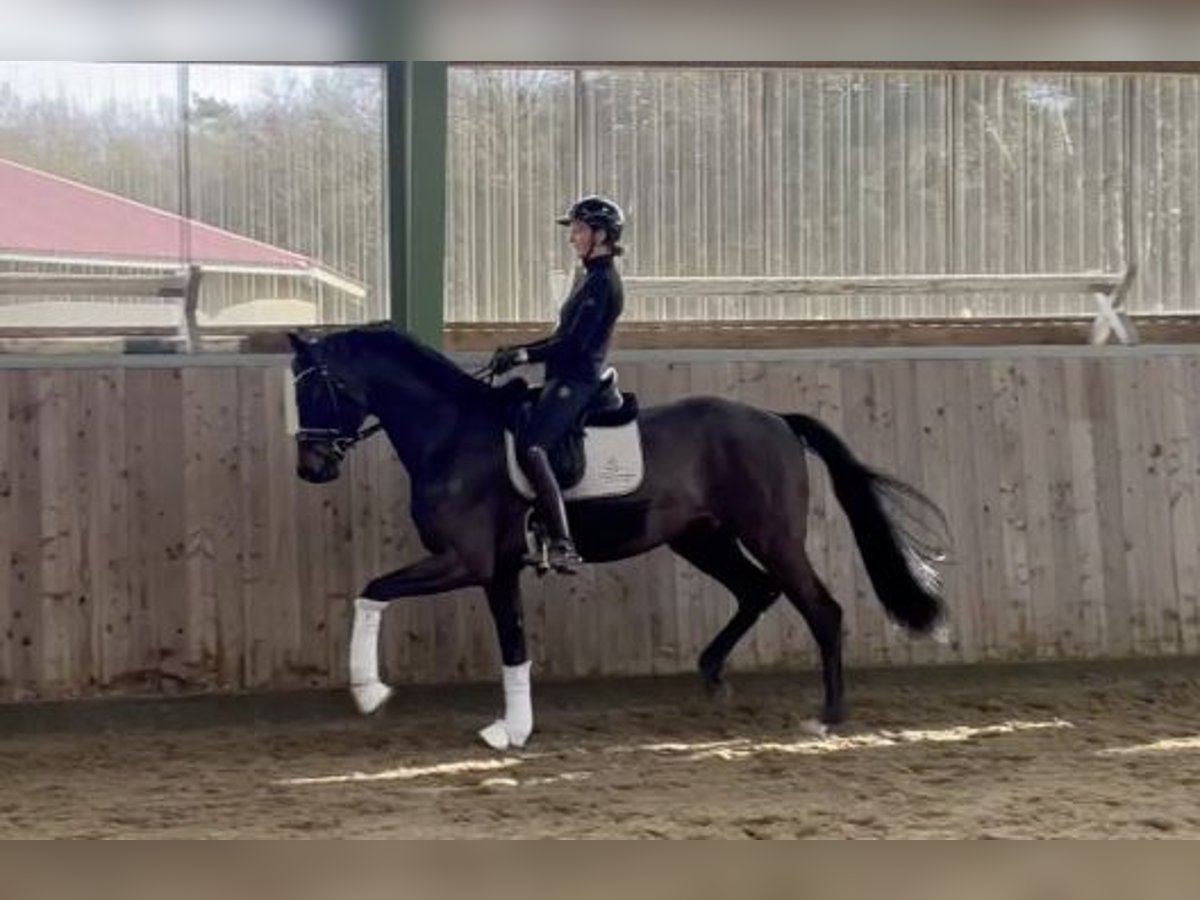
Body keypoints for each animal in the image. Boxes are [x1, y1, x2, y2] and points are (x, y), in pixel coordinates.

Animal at [285, 328, 950, 748]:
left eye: (316, 388)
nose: (311, 468)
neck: (453, 434)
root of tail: (776, 421)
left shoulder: (464, 561)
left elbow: (372, 591)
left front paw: (369, 693)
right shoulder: (496, 569)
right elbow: (513, 645)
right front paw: (513, 730)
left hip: (773, 535)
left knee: (821, 608)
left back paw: (828, 716)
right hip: (701, 539)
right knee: (755, 592)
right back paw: (712, 675)